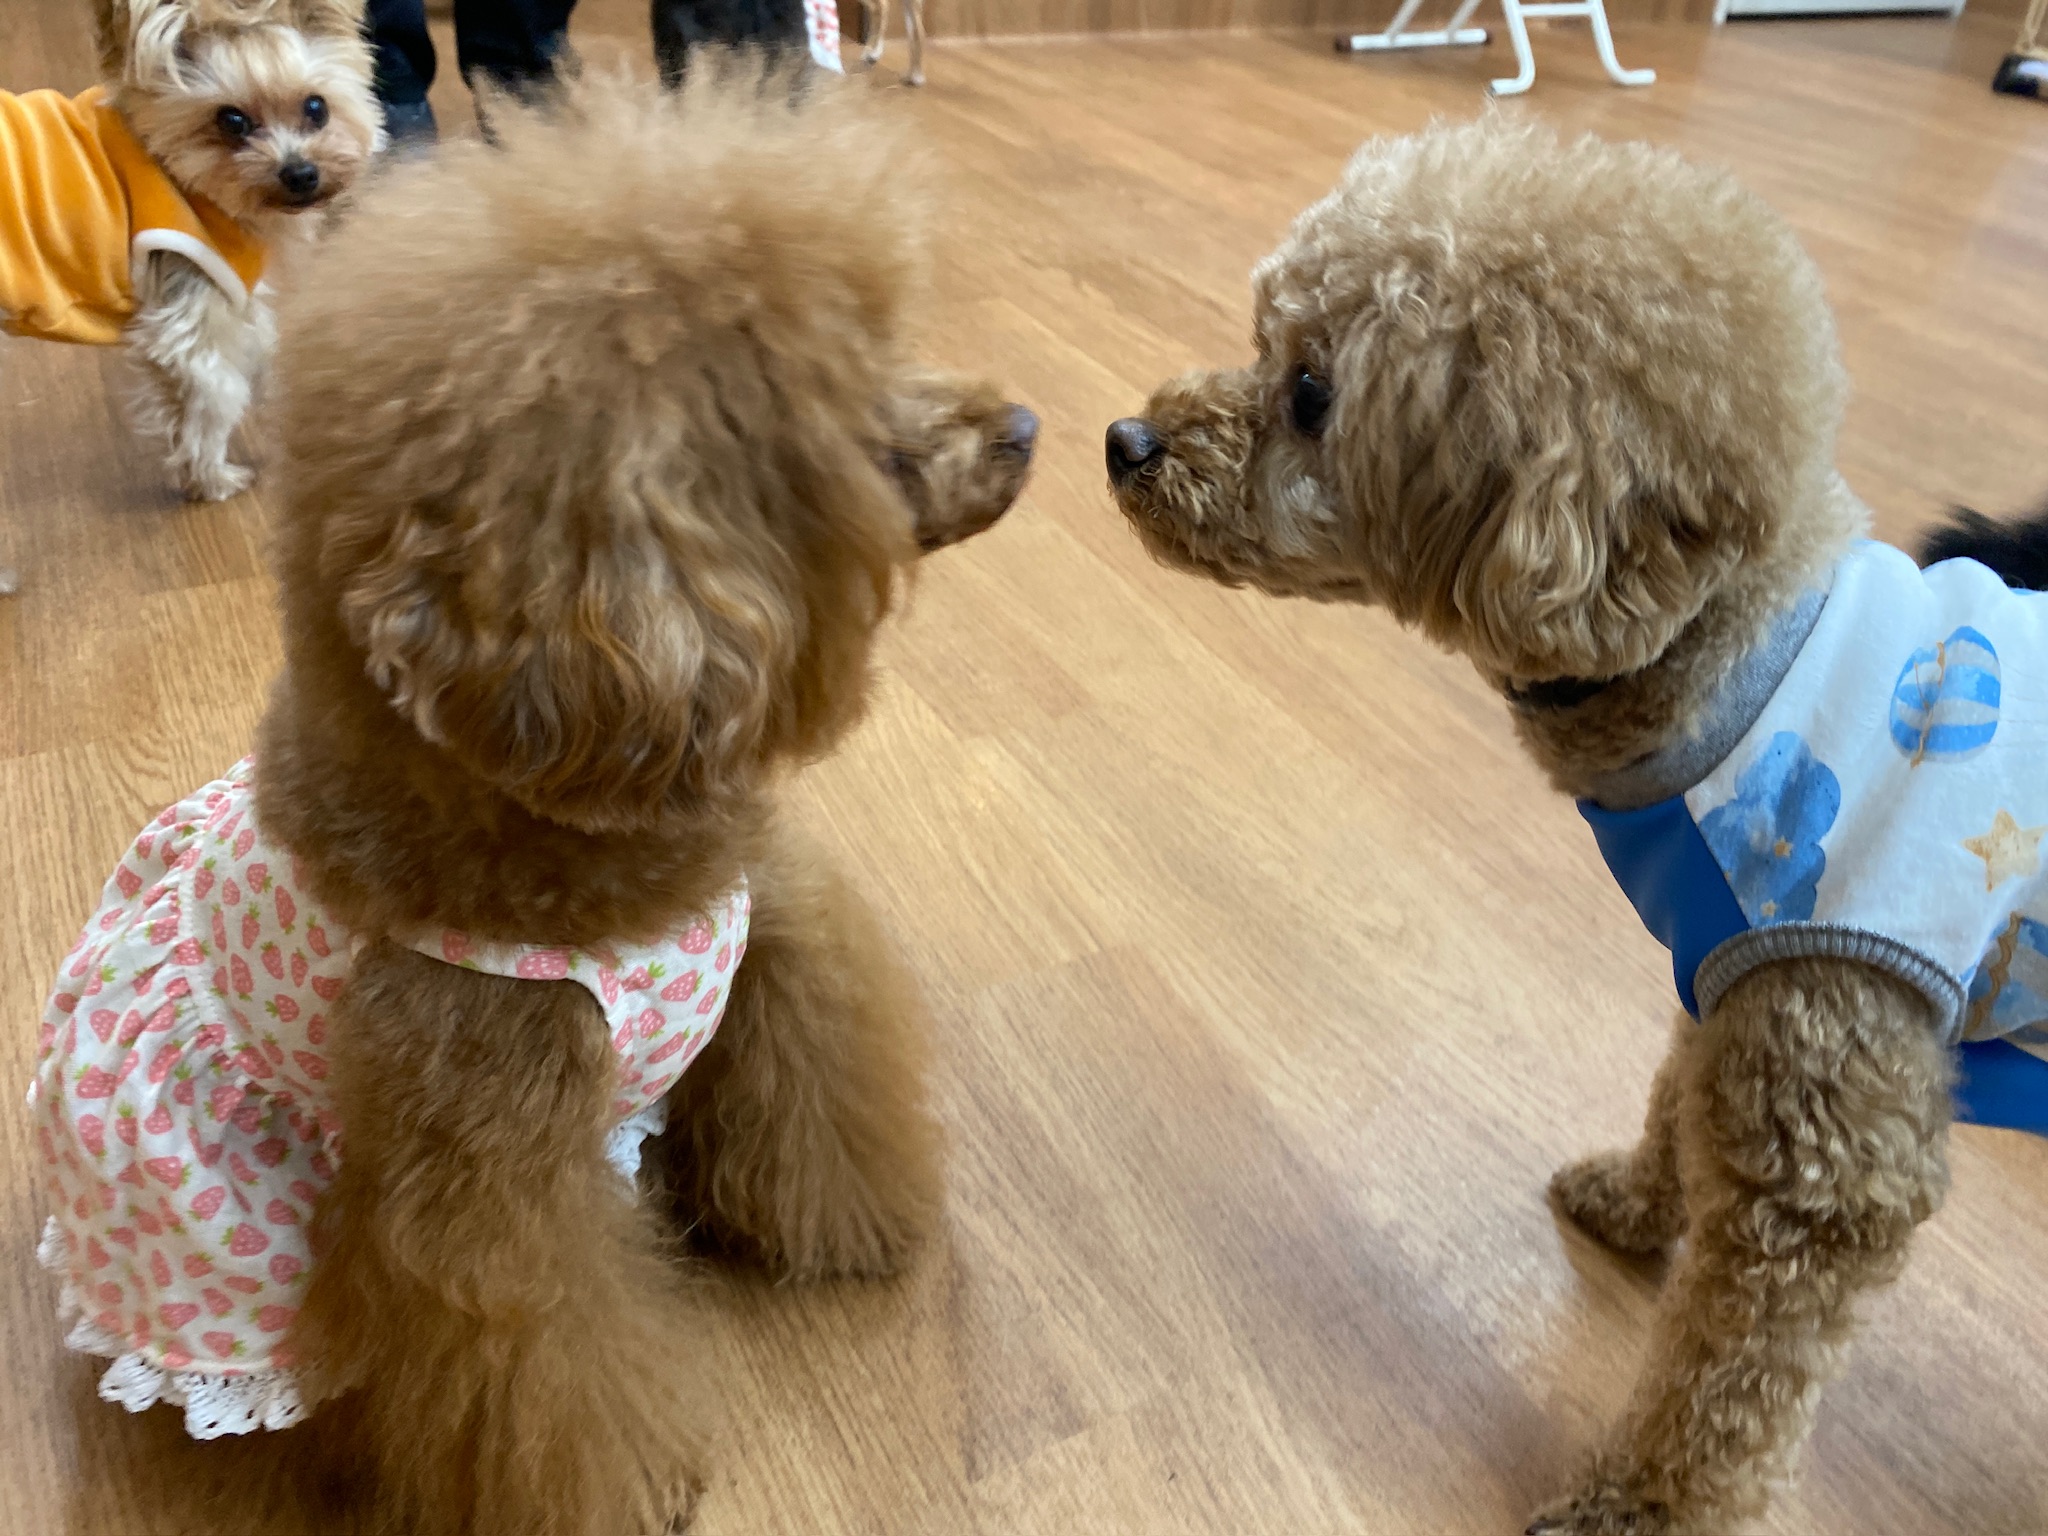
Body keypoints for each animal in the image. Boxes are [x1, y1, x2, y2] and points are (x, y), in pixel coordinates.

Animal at [0, 0, 380, 505]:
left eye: (316, 108)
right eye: (231, 121)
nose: (300, 173)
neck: (184, 179)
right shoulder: (192, 310)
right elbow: (212, 399)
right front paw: (212, 478)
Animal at [29, 63, 1033, 1534]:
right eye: (834, 419)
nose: (1024, 428)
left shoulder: (779, 944)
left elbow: (815, 1098)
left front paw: (847, 1227)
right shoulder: (488, 1175)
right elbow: (535, 1358)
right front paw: (621, 1488)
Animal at [1104, 115, 2048, 1534]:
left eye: (1312, 391)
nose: (1121, 439)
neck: (1738, 660)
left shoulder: (1825, 1139)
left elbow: (1724, 1387)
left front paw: (1642, 1509)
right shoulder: (1724, 989)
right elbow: (1671, 1108)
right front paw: (1637, 1202)